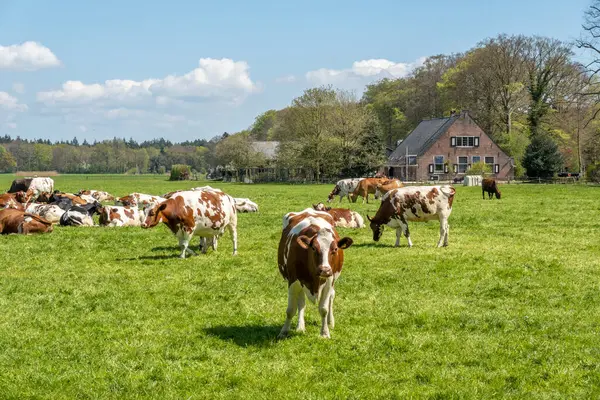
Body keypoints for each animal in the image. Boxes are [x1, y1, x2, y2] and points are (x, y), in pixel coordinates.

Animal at [278, 208, 354, 340]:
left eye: (335, 249)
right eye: (313, 248)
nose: (324, 270)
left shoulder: (329, 281)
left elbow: (323, 309)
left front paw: (325, 332)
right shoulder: (293, 281)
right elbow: (291, 309)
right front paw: (284, 331)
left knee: (331, 297)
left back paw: (330, 322)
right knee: (301, 302)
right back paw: (300, 326)